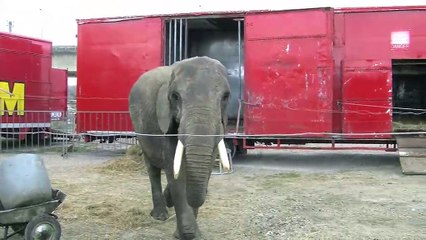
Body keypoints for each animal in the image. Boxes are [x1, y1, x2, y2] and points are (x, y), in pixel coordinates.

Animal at [128, 56, 231, 240]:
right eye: (175, 97)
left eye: (226, 97)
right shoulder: (166, 123)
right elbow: (175, 170)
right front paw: (186, 234)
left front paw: (194, 234)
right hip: (141, 131)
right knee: (152, 169)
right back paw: (160, 215)